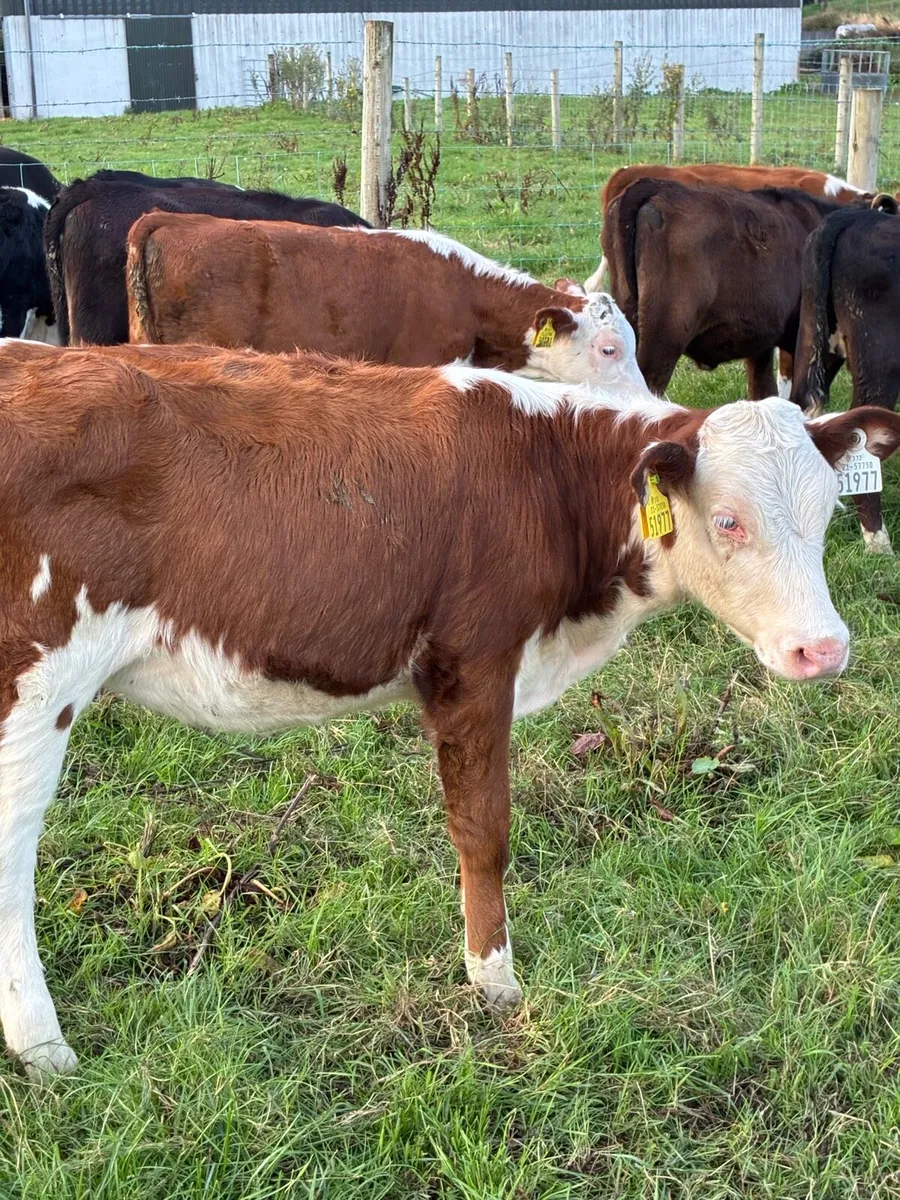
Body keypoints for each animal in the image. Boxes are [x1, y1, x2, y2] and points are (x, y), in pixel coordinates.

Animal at [0, 337, 898, 1080]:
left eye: (826, 514)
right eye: (728, 520)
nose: (823, 649)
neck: (545, 474)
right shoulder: (475, 664)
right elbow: (483, 830)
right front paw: (494, 981)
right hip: (34, 685)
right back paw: (44, 1048)